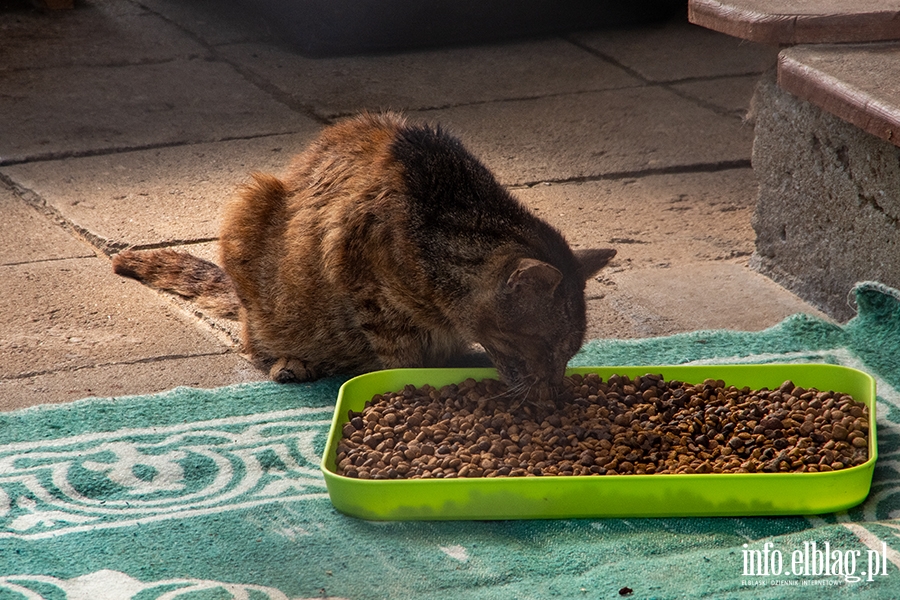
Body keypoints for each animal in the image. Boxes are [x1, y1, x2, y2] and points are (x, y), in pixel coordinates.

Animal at [112, 112, 616, 404]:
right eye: (546, 347)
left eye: (570, 353)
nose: (554, 390)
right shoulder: (373, 298)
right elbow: (403, 363)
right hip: (251, 205)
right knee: (254, 339)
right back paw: (291, 362)